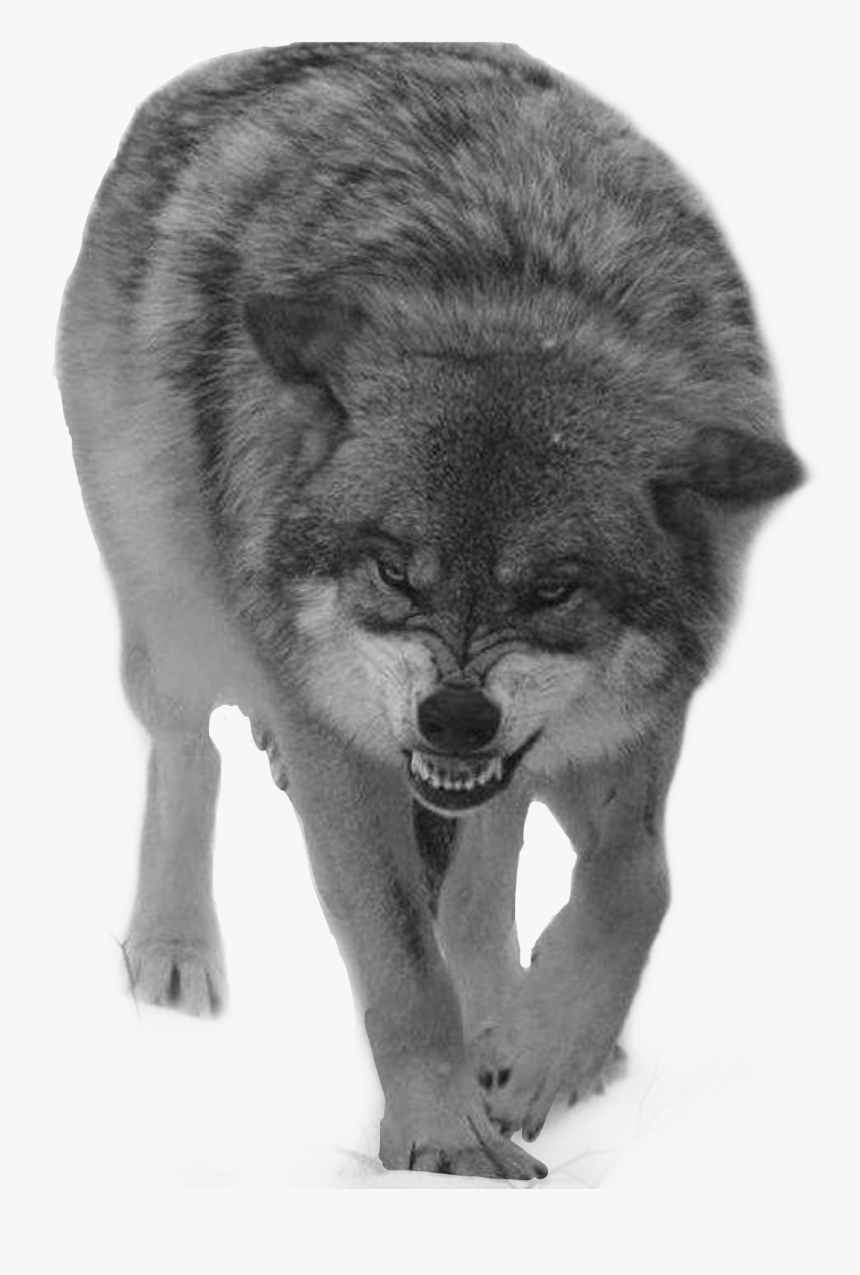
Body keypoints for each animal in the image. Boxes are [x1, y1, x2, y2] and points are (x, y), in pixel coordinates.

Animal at [56, 42, 802, 1180]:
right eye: (394, 572)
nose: (452, 718)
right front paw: (445, 1148)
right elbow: (406, 970)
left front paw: (543, 1053)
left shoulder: (628, 723)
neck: (518, 293)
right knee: (189, 753)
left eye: (553, 588)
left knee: (485, 874)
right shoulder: (341, 742)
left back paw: (508, 1020)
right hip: (173, 614)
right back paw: (175, 951)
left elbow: (636, 881)